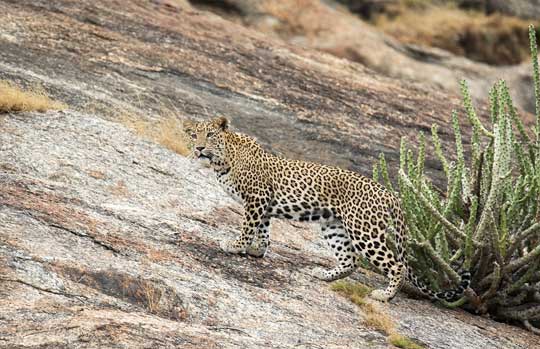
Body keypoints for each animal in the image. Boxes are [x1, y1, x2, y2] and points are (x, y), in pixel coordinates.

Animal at [184, 117, 470, 302]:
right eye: (193, 135)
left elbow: (247, 226)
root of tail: (391, 195)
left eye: (210, 135)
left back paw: (384, 296)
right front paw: (256, 250)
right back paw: (324, 275)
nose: (198, 148)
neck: (224, 158)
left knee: (396, 264)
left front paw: (235, 246)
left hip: (364, 230)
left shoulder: (257, 197)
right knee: (350, 261)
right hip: (334, 226)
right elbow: (263, 229)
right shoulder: (263, 204)